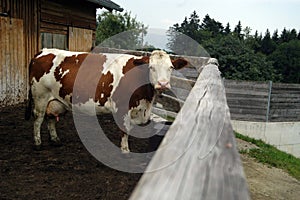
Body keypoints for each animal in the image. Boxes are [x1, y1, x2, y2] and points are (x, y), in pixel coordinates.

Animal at [25, 48, 188, 153]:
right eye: (151, 67)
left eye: (171, 67)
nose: (163, 84)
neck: (145, 101)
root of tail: (42, 51)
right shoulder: (122, 108)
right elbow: (124, 131)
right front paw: (125, 151)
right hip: (40, 96)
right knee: (38, 118)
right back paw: (38, 143)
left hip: (56, 100)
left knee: (51, 118)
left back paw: (55, 140)